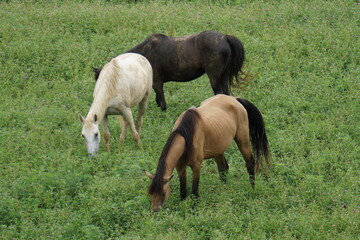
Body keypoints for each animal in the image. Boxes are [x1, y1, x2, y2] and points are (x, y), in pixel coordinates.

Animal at [93, 30, 250, 111]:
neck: (144, 55)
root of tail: (225, 37)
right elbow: (158, 99)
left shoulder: (157, 82)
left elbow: (161, 100)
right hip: (223, 76)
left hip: (215, 77)